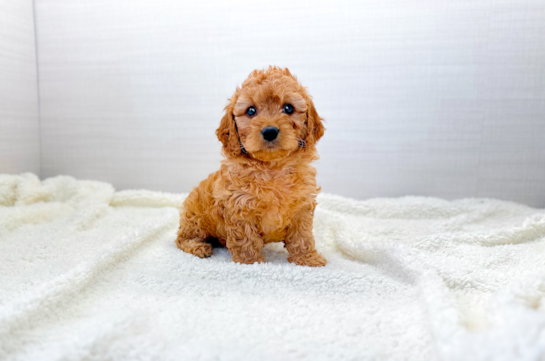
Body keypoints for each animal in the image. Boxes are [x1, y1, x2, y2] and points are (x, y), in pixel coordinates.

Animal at [176, 66, 326, 266]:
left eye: (288, 108)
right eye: (251, 111)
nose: (270, 131)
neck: (272, 168)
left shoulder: (302, 206)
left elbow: (302, 236)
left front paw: (307, 258)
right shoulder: (239, 206)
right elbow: (246, 238)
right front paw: (251, 262)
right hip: (194, 218)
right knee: (182, 238)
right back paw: (198, 247)